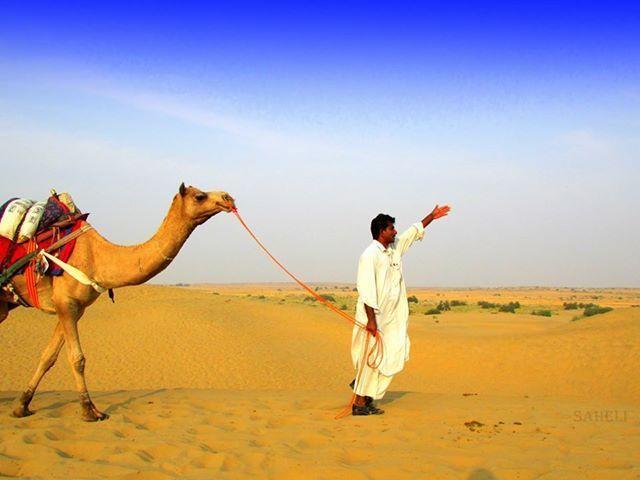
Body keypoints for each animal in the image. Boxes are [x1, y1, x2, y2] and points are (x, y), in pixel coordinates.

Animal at [0, 184, 235, 420]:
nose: (228, 198)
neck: (97, 258)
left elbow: (48, 357)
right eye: (199, 196)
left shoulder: (75, 308)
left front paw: (22, 405)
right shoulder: (65, 302)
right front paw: (89, 410)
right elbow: (77, 358)